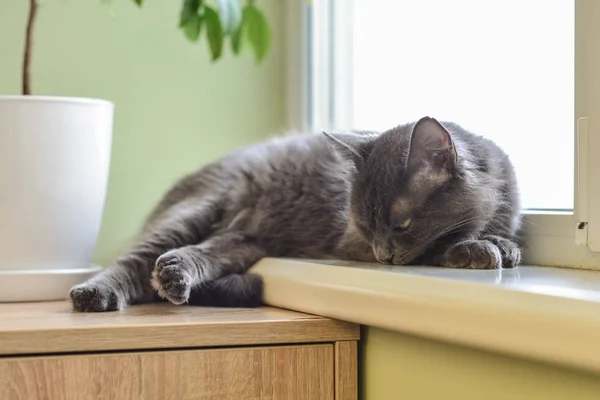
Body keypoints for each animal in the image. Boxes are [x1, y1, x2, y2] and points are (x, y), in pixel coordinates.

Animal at [69, 116, 520, 312]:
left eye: (400, 224)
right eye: (366, 227)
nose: (384, 256)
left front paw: (500, 244)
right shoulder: (351, 244)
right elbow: (438, 245)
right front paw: (475, 248)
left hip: (246, 240)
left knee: (203, 253)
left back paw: (175, 274)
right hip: (196, 210)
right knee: (132, 261)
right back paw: (94, 294)